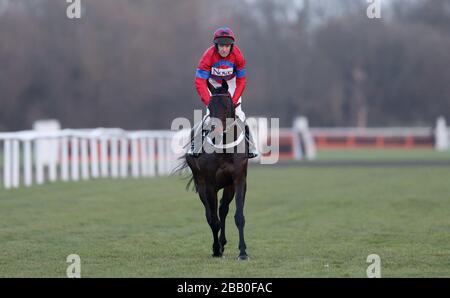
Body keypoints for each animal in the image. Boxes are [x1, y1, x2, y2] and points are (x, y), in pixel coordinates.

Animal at [180, 80, 250, 260]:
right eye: (210, 106)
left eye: (226, 105)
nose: (214, 130)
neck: (224, 148)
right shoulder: (210, 185)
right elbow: (213, 220)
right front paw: (216, 249)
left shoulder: (239, 180)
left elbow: (238, 216)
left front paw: (242, 252)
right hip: (201, 185)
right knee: (211, 215)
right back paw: (217, 247)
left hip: (228, 186)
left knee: (223, 209)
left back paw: (223, 243)